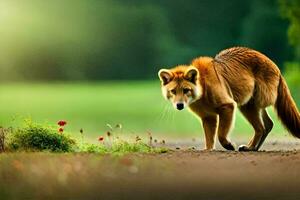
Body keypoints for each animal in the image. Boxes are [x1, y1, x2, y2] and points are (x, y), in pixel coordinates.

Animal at [158, 47, 298, 151]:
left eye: (186, 90)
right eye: (173, 91)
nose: (179, 105)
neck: (202, 88)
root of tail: (276, 67)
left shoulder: (227, 106)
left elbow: (220, 133)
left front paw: (228, 145)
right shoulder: (208, 116)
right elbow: (209, 137)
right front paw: (209, 149)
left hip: (248, 104)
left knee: (261, 127)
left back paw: (250, 147)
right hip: (254, 103)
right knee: (268, 124)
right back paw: (253, 147)